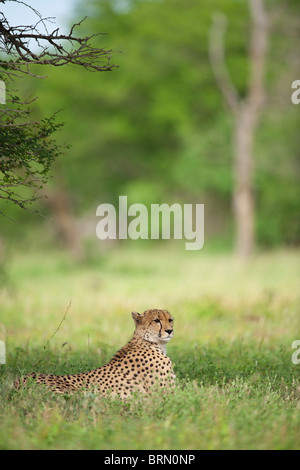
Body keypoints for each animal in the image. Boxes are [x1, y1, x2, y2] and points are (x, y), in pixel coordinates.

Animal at [13, 310, 176, 398]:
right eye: (156, 320)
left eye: (170, 320)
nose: (169, 330)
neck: (149, 342)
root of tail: (18, 380)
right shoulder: (164, 396)